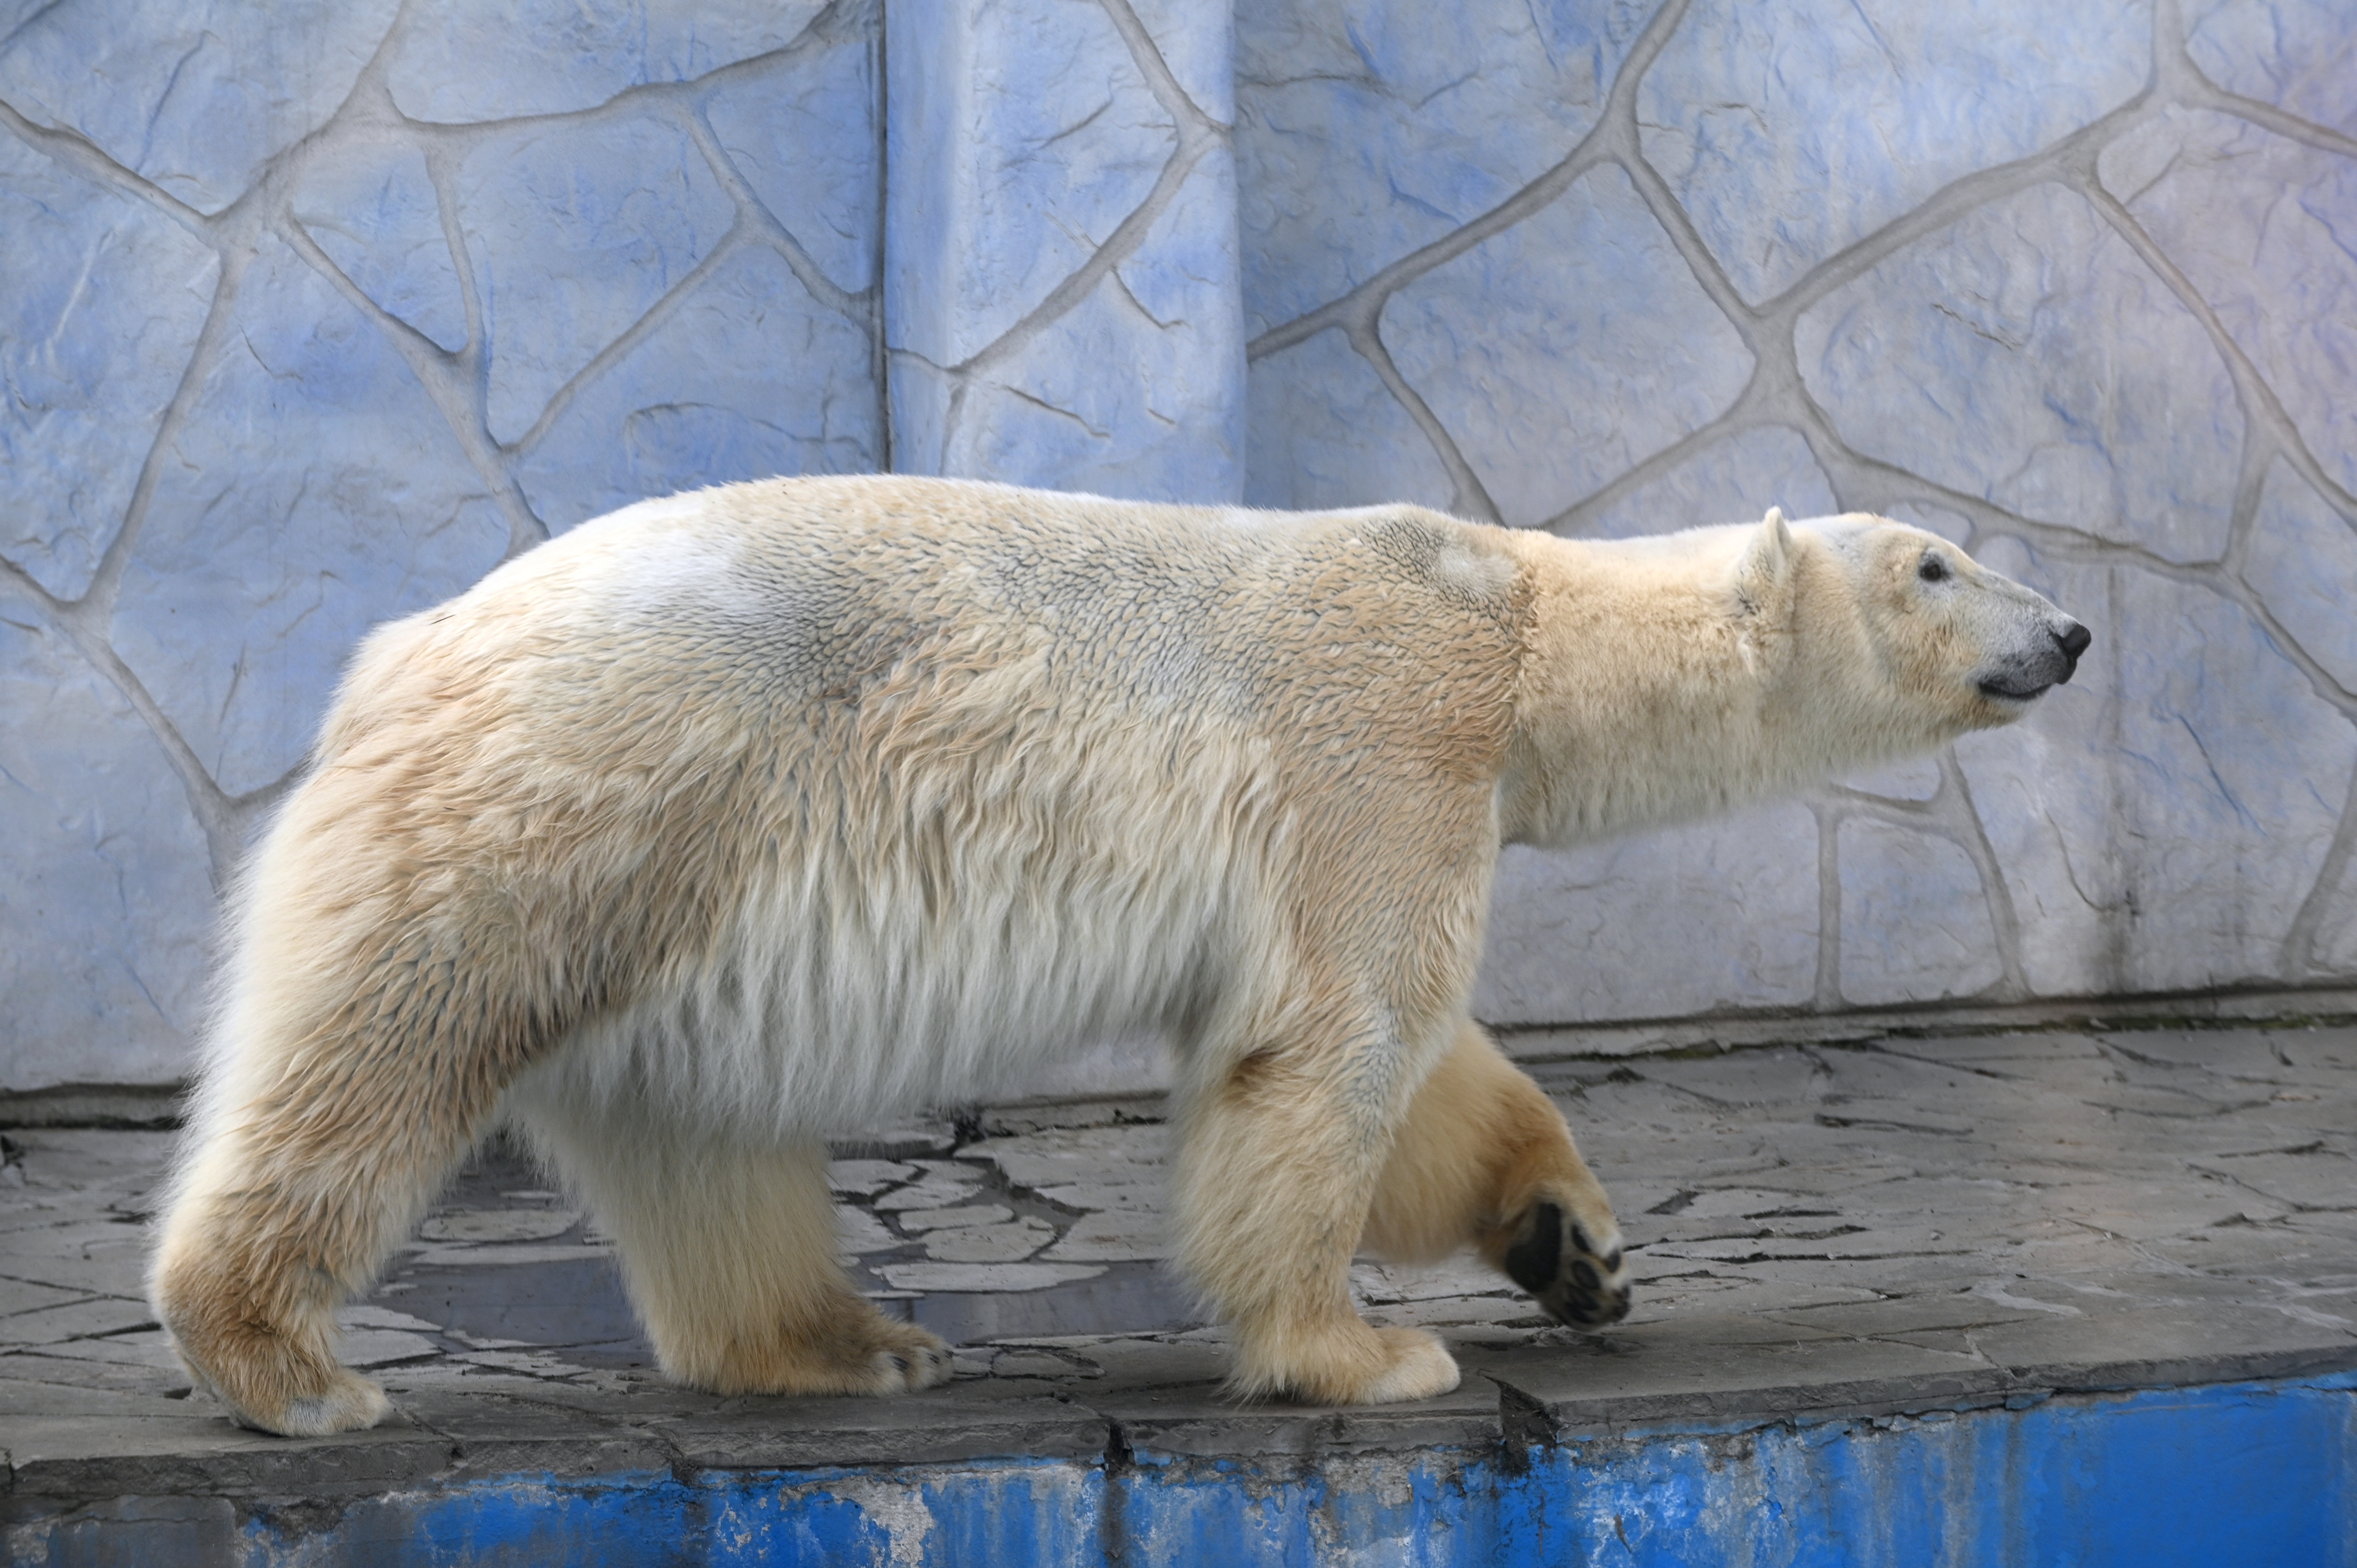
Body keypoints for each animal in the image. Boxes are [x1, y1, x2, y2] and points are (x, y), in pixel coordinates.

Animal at [157, 476, 2093, 1434]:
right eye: (1937, 561)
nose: (2071, 630)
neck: (1514, 620)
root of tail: (400, 650)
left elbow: (1418, 1057)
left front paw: (1573, 1248)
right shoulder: (1381, 743)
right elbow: (1336, 1042)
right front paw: (1362, 1353)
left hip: (672, 890)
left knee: (698, 1137)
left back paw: (848, 1343)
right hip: (580, 796)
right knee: (387, 1041)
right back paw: (288, 1364)